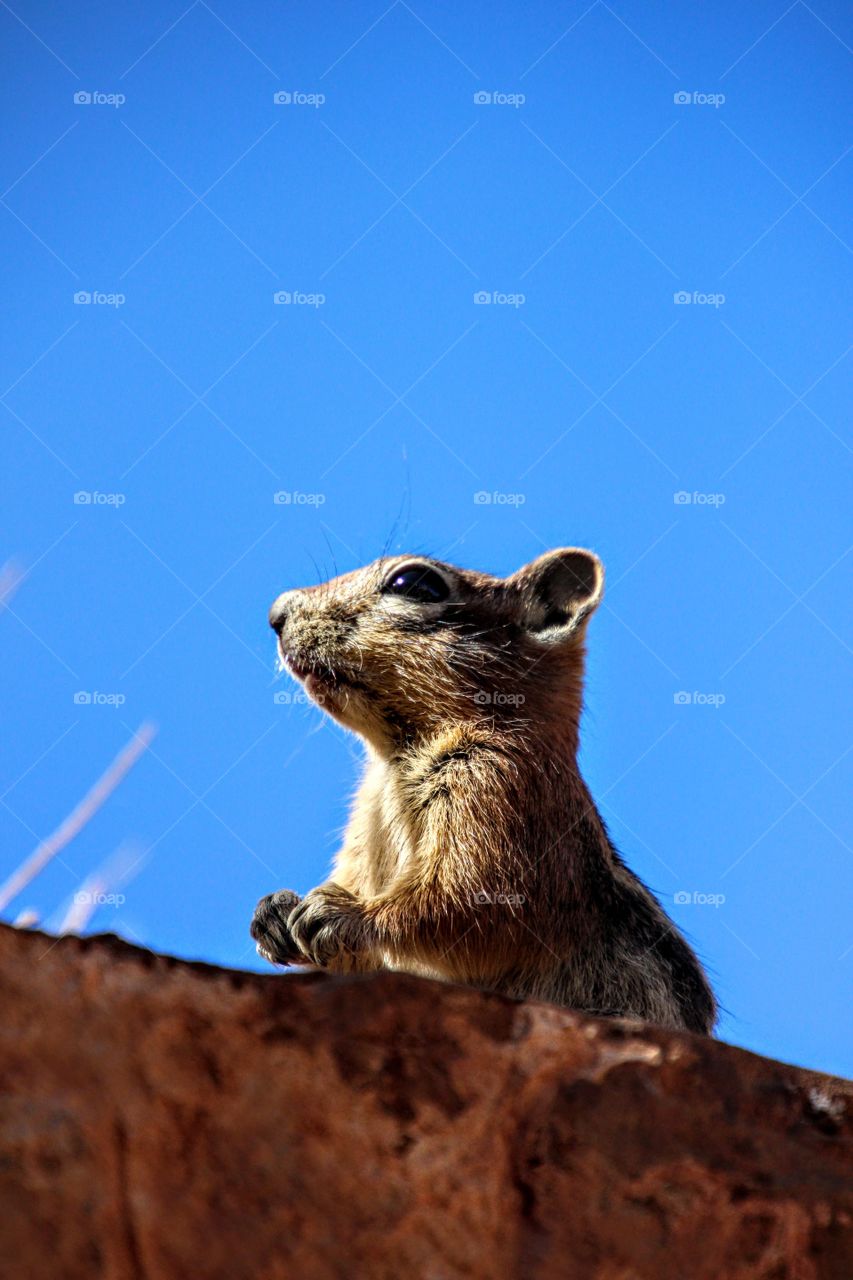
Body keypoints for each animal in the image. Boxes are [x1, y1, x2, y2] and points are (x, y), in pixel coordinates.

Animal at [251, 548, 716, 1035]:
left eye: (413, 583)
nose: (276, 612)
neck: (395, 758)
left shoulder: (499, 793)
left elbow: (467, 904)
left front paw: (342, 912)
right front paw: (275, 911)